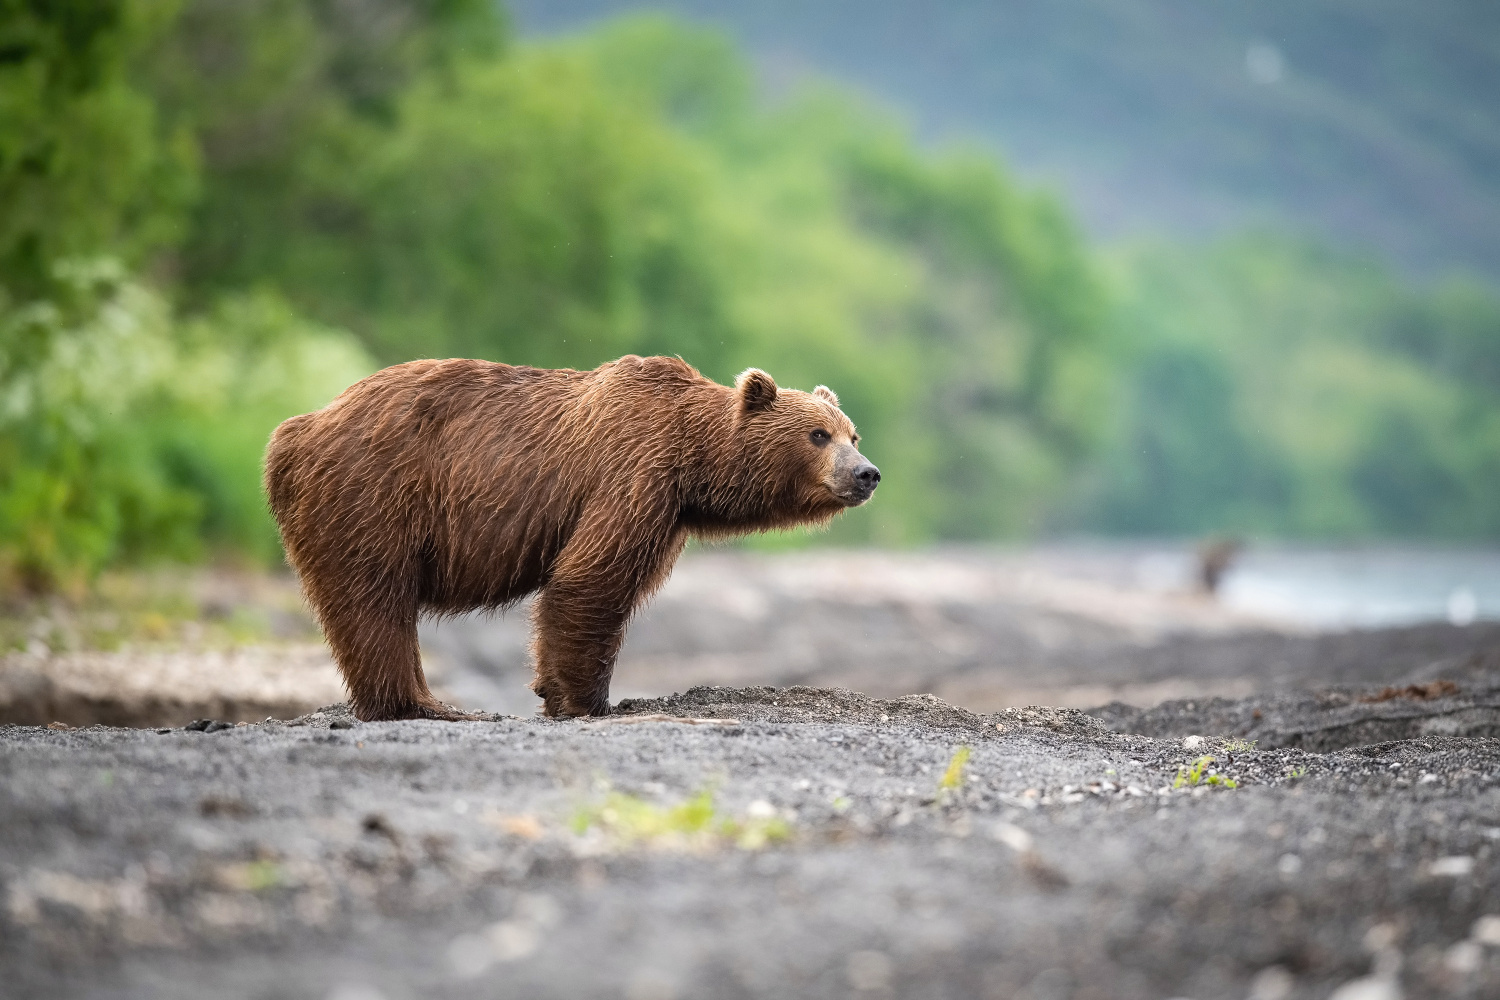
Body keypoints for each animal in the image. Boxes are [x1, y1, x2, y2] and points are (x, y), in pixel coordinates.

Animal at [261, 355, 876, 722]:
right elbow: (591, 579)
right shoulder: (631, 473)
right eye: (817, 434)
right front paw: (586, 699)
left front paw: (553, 691)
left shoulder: (667, 512)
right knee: (374, 598)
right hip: (375, 493)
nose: (866, 473)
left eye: (852, 434)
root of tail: (297, 428)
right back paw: (425, 704)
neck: (692, 461)